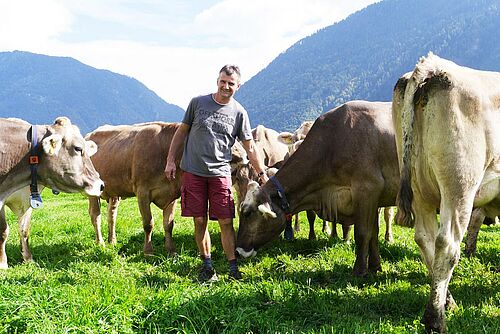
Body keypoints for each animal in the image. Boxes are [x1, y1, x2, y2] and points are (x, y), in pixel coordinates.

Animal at [0, 117, 103, 268]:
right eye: (78, 148)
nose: (101, 185)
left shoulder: (28, 200)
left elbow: (24, 230)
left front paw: (28, 258)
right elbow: (3, 231)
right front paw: (2, 263)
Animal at [237, 100, 398, 276]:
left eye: (247, 213)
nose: (238, 251)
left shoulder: (367, 189)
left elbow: (362, 233)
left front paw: (359, 271)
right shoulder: (372, 198)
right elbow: (373, 233)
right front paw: (375, 267)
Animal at [394, 52, 500, 332]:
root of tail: (432, 66)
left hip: (419, 187)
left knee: (425, 238)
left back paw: (446, 302)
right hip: (459, 186)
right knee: (447, 244)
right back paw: (435, 318)